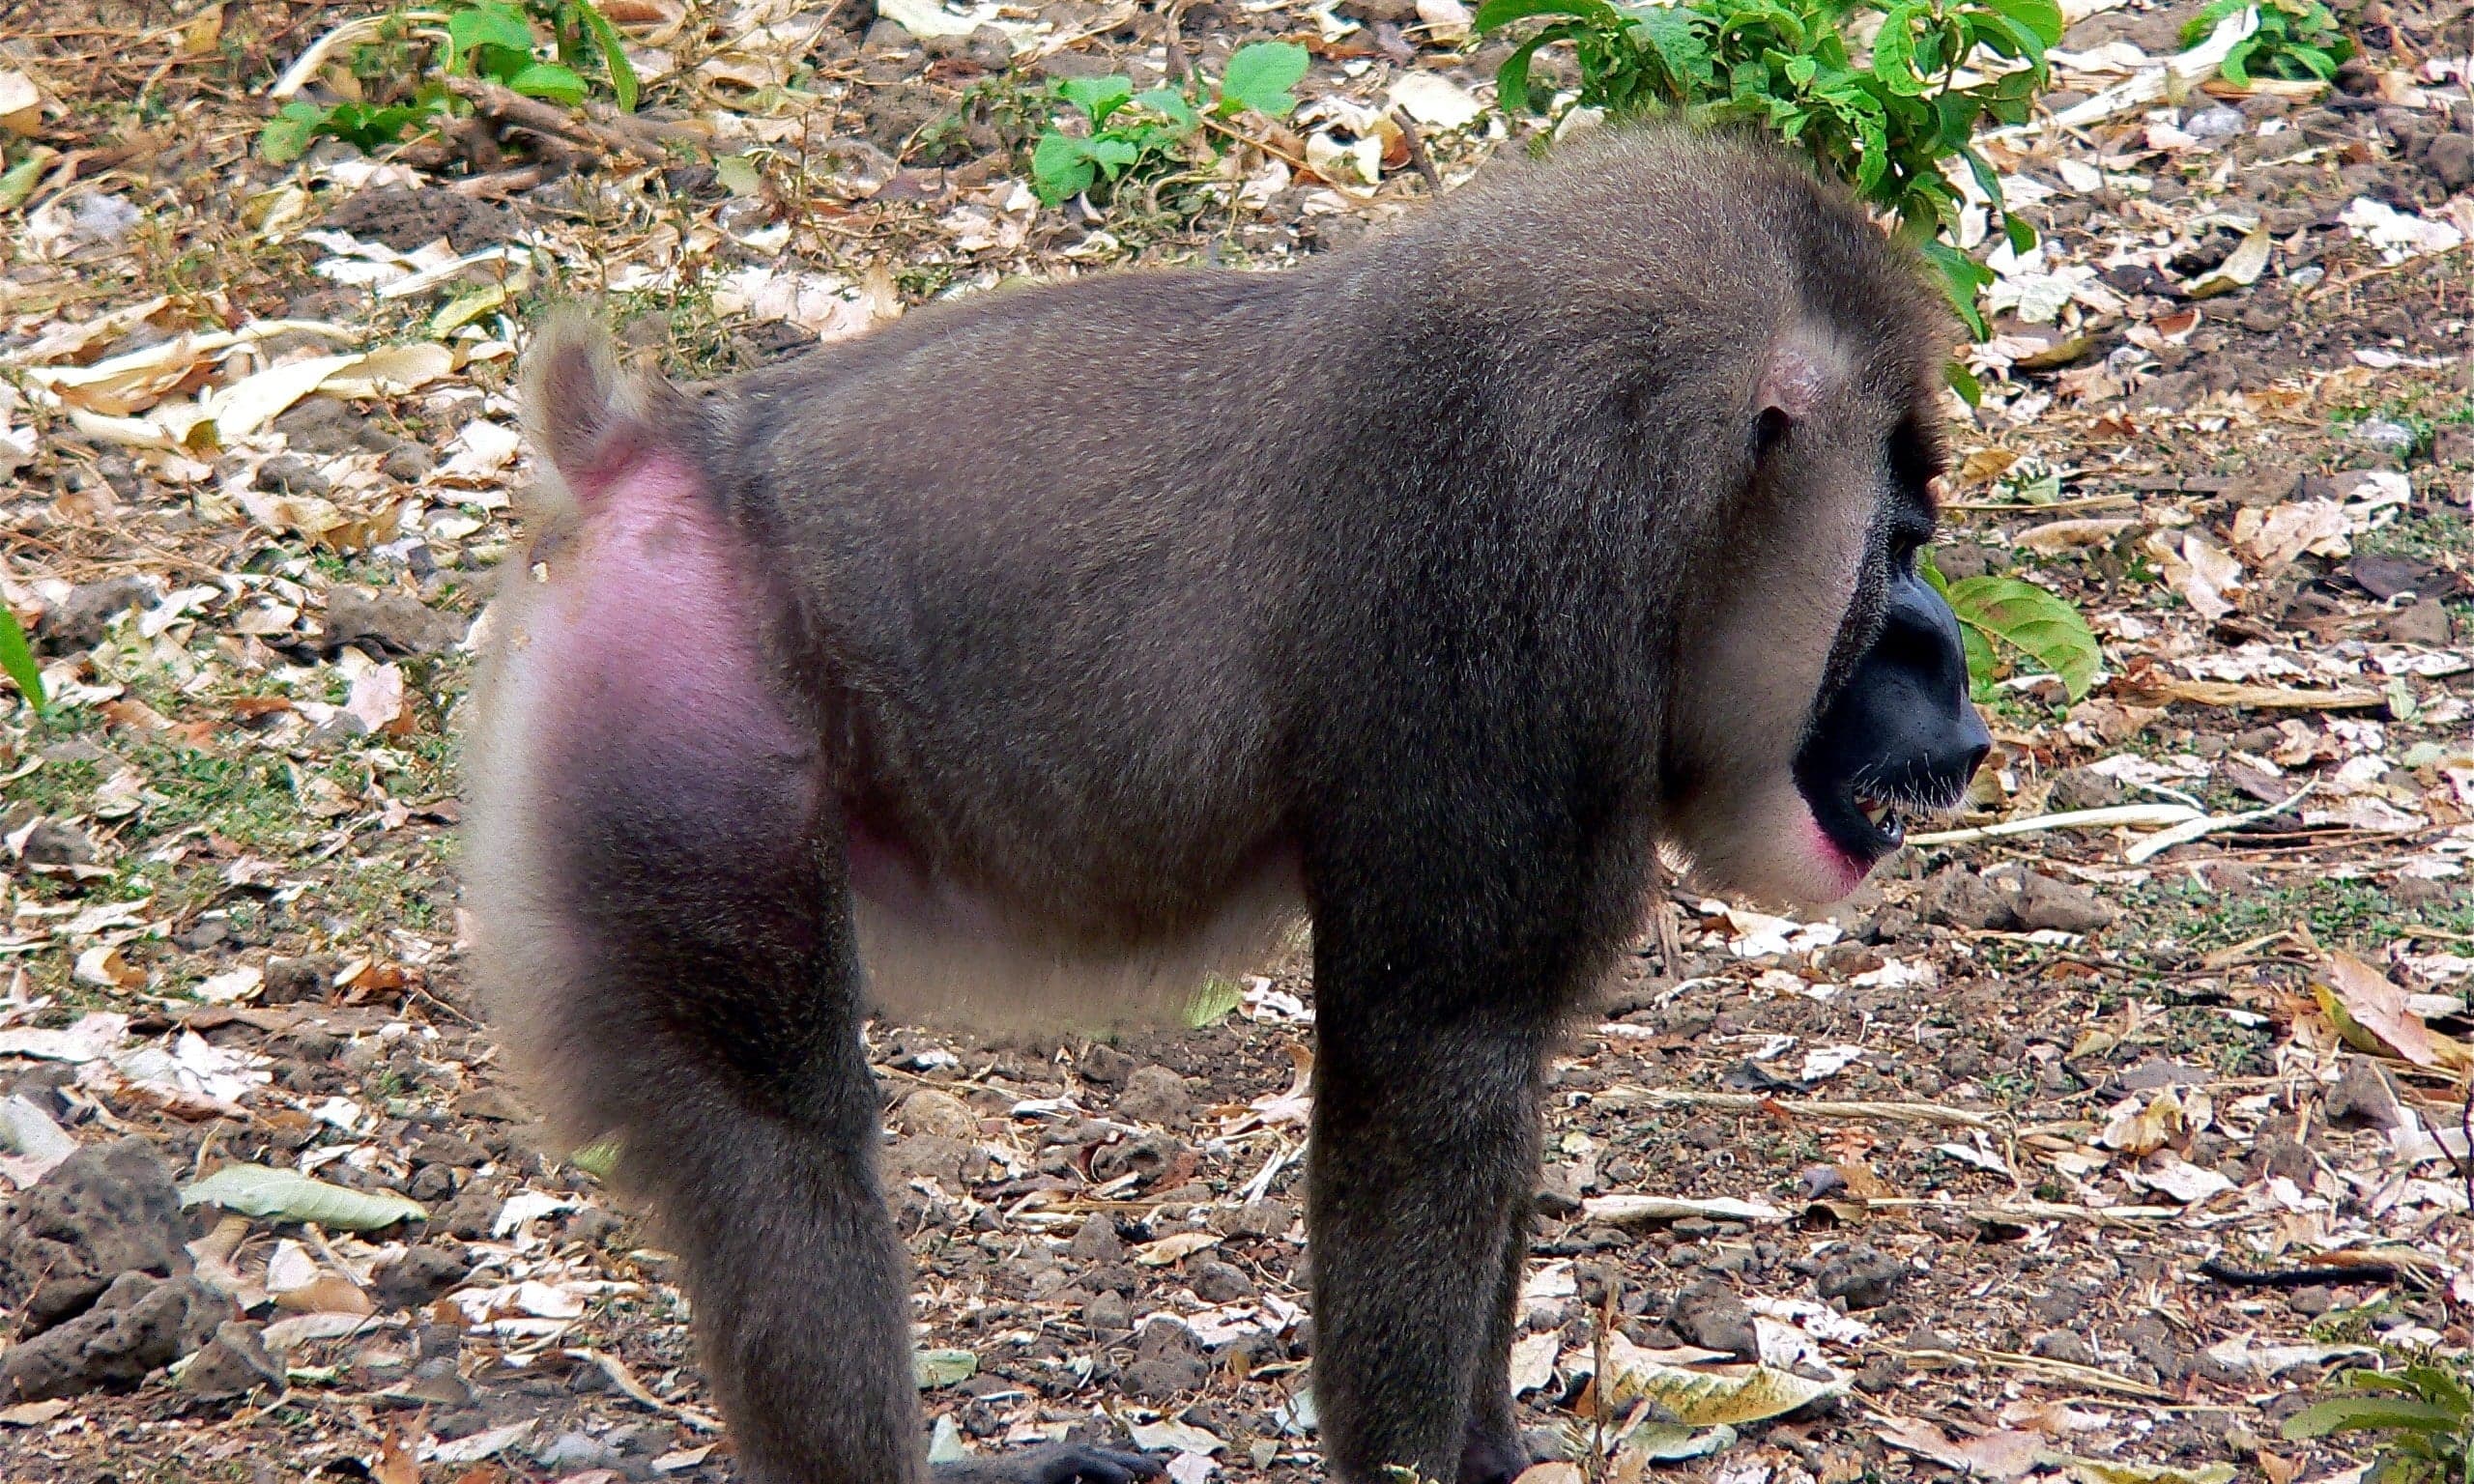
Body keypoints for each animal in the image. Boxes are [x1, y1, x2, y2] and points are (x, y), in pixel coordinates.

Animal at [460, 125, 1991, 1484]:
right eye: (1899, 544)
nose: (1957, 677)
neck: (1669, 484)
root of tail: (652, 457)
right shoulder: (1502, 617)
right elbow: (1431, 1070)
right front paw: (1411, 1468)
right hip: (690, 733)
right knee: (778, 1146)